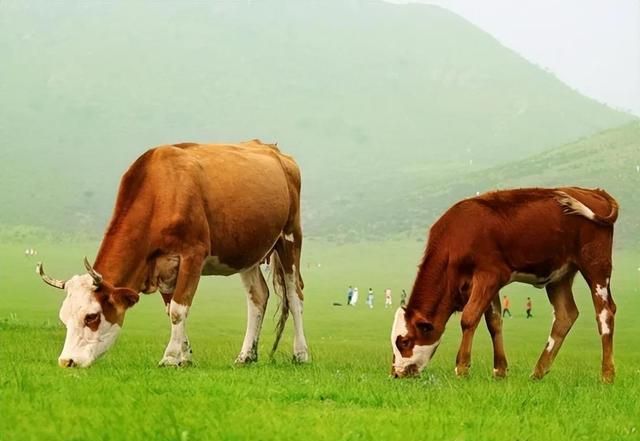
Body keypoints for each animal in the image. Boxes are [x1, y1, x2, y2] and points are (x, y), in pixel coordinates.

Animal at [36, 139, 312, 366]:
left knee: (294, 294)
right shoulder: (163, 266)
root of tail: (274, 150)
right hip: (246, 251)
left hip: (290, 236)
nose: (67, 361)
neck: (161, 192)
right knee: (258, 296)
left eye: (91, 317)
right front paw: (185, 356)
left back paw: (301, 353)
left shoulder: (193, 255)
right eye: (64, 318)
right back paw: (246, 355)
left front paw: (170, 357)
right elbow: (172, 310)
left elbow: (180, 308)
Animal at [390, 186, 620, 382]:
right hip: (559, 275)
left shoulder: (489, 275)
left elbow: (469, 318)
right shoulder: (488, 284)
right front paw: (499, 370)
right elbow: (494, 322)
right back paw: (538, 372)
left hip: (595, 264)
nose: (395, 373)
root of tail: (593, 191)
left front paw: (462, 367)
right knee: (566, 315)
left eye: (404, 342)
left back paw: (607, 375)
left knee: (605, 312)